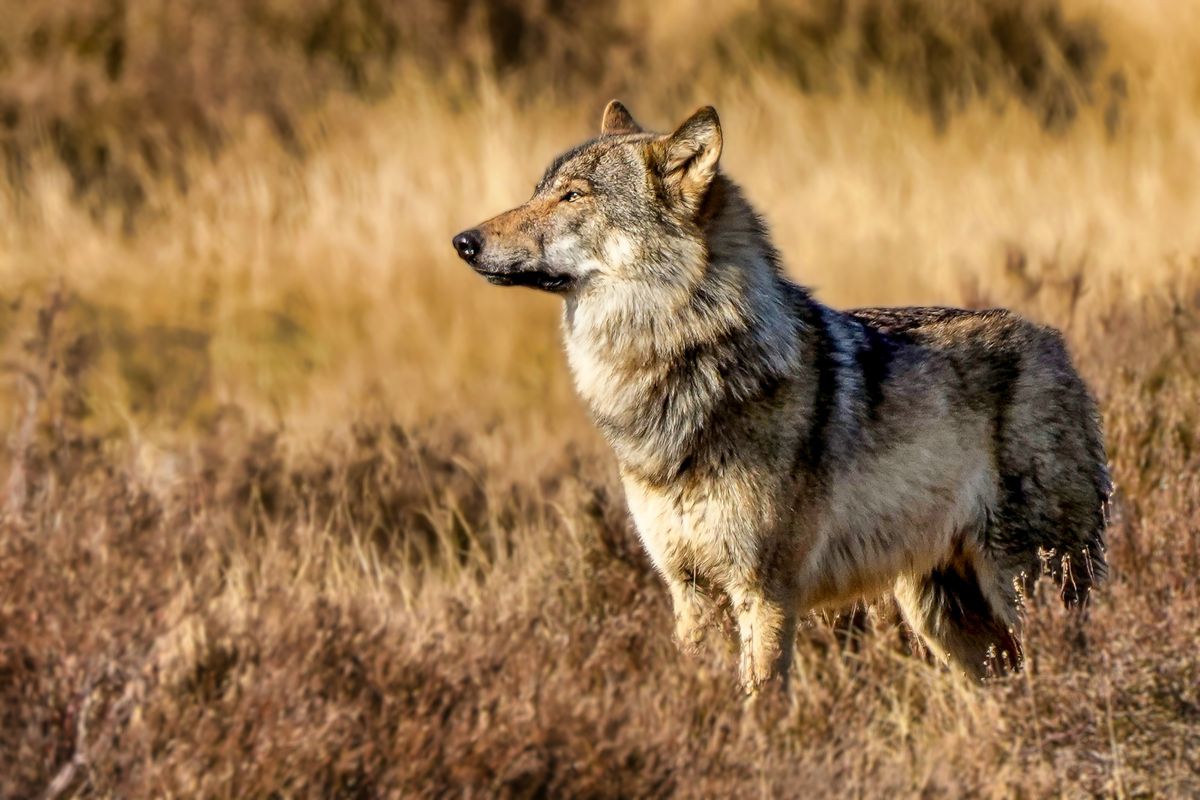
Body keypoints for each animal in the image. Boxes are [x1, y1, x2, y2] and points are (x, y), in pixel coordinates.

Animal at [452, 100, 1109, 693]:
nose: (463, 241)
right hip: (943, 614)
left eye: (573, 196)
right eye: (539, 191)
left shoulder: (765, 593)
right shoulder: (688, 591)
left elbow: (760, 700)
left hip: (1027, 587)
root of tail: (1059, 346)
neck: (685, 365)